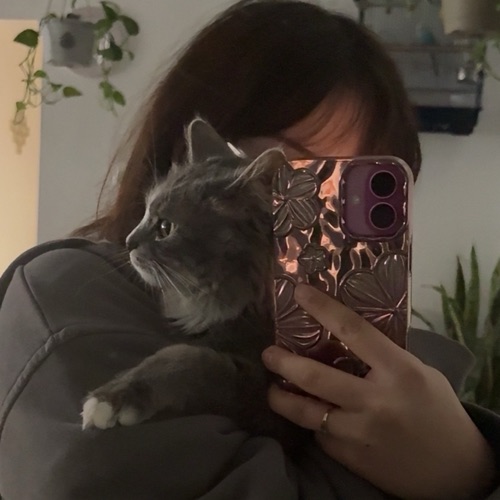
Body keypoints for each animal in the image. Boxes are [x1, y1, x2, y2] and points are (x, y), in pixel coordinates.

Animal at [81, 118, 302, 448]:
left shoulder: (270, 400)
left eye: (165, 227)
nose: (129, 241)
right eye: (145, 212)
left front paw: (112, 399)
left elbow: (187, 359)